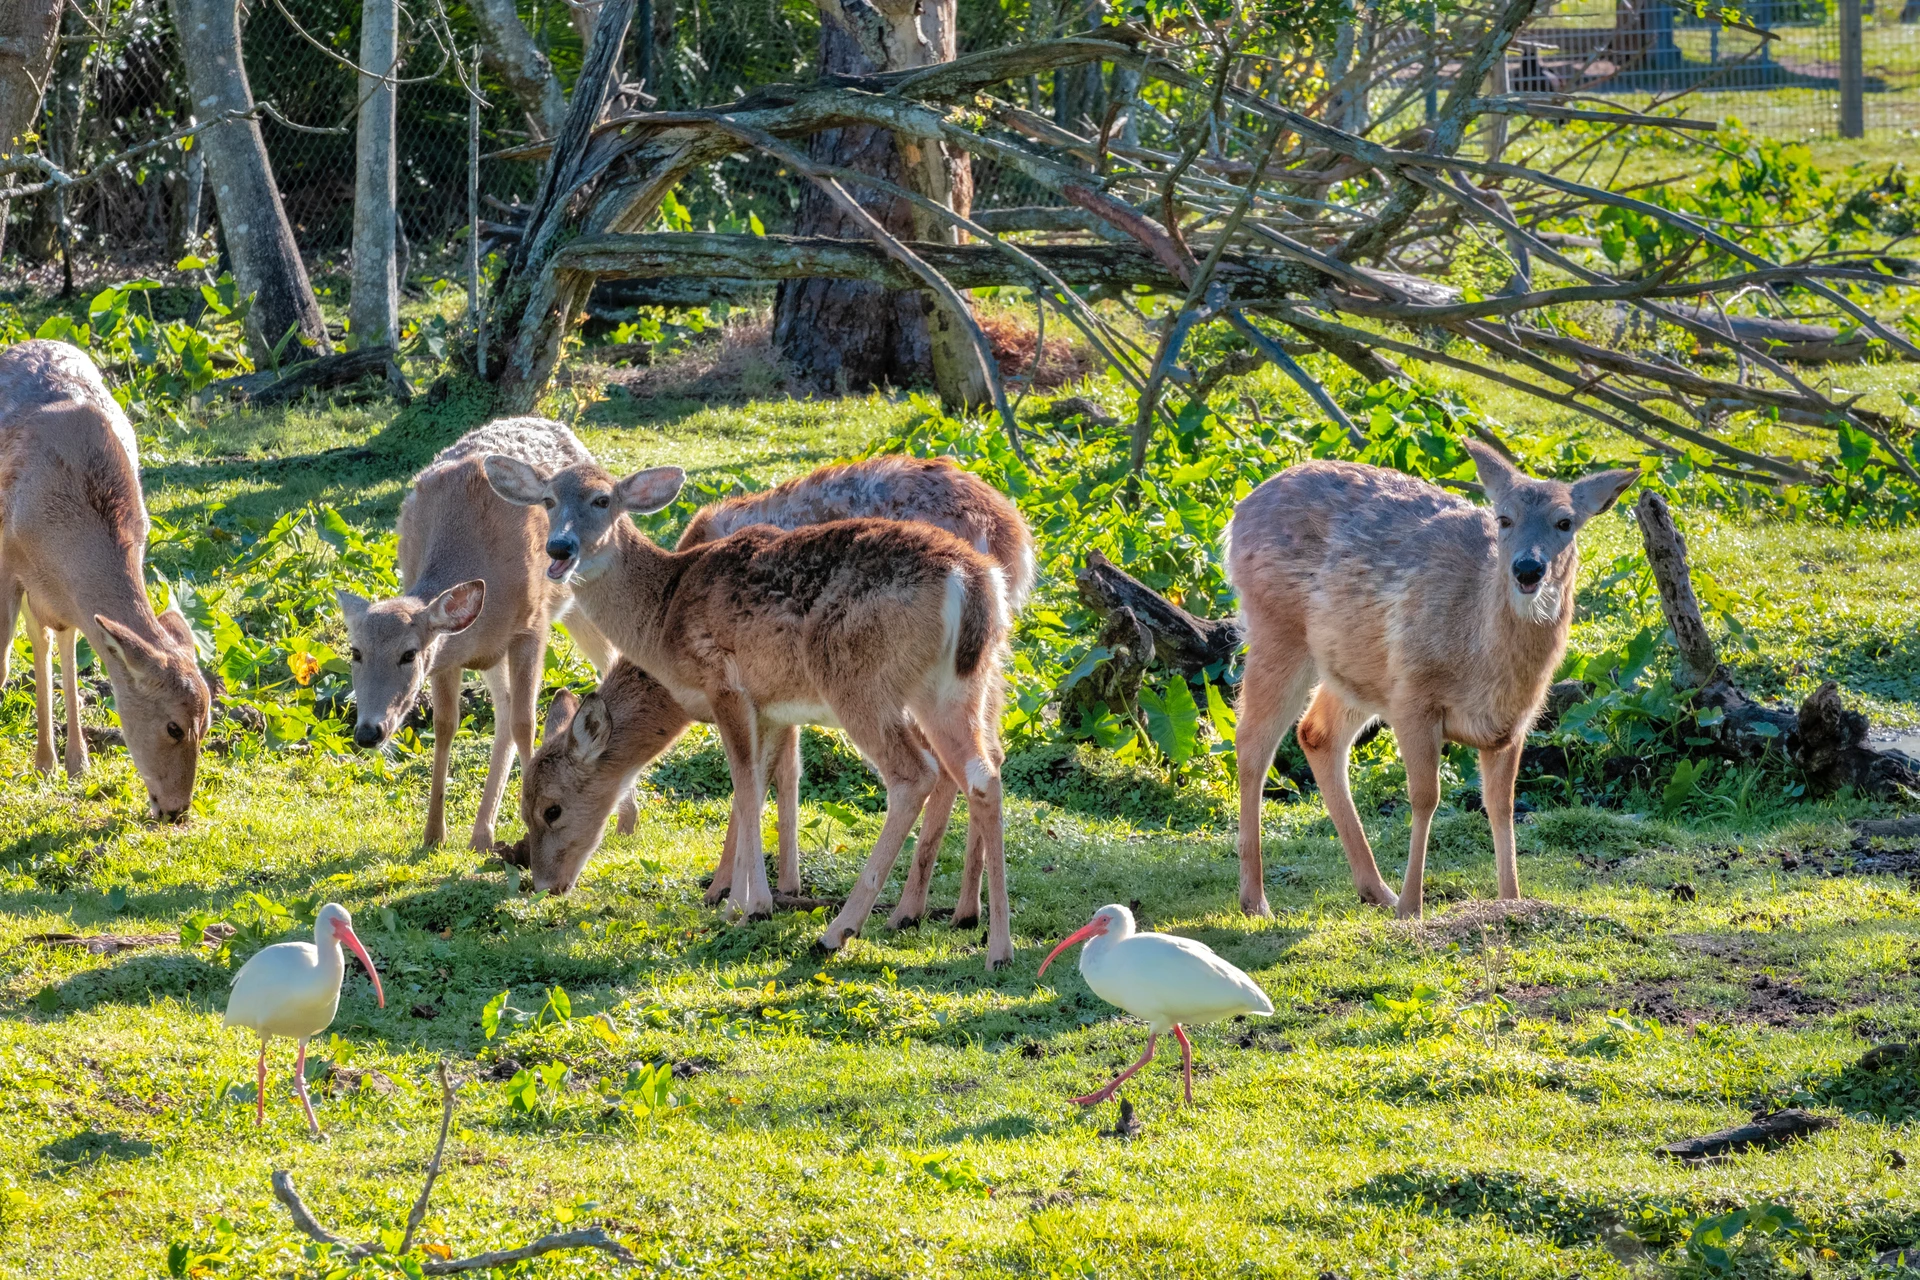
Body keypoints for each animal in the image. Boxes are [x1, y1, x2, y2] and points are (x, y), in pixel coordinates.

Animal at [0, 339, 212, 820]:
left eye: (207, 724)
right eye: (174, 727)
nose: (176, 810)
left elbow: (68, 643)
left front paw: (75, 764)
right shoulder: (5, 556)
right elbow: (2, 662)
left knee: (50, 639)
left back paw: (60, 761)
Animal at [337, 417, 633, 850]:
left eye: (409, 654)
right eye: (355, 651)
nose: (368, 732)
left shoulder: (531, 626)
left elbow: (527, 722)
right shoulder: (450, 652)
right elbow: (447, 726)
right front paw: (433, 834)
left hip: (582, 597)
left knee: (608, 661)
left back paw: (626, 820)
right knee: (504, 711)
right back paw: (482, 833)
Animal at [483, 455, 1016, 967]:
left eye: (552, 809)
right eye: (548, 500)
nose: (559, 548)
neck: (664, 611)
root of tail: (972, 580)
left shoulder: (726, 684)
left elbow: (743, 783)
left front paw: (749, 904)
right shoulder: (773, 707)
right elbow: (760, 786)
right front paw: (743, 898)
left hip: (859, 682)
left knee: (916, 775)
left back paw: (840, 931)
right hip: (953, 689)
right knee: (984, 770)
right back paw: (993, 945)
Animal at [1225, 441, 1637, 920]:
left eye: (1566, 522)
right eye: (1504, 518)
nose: (1528, 568)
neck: (1484, 665)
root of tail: (1238, 513)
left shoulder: (1515, 723)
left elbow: (1501, 805)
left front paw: (1511, 900)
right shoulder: (1413, 697)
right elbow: (1426, 797)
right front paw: (1412, 906)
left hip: (1355, 667)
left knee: (1316, 733)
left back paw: (1374, 889)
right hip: (1277, 628)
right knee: (1252, 741)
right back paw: (1256, 899)